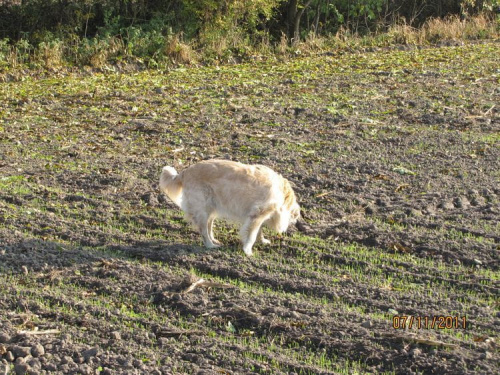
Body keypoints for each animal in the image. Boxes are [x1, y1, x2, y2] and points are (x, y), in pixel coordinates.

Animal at [161, 159, 300, 256]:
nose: (294, 223)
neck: (282, 194)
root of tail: (184, 173)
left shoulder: (255, 215)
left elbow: (258, 231)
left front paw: (262, 241)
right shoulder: (258, 214)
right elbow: (252, 235)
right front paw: (248, 251)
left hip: (212, 208)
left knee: (209, 226)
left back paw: (214, 240)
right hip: (202, 210)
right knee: (203, 230)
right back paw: (210, 245)